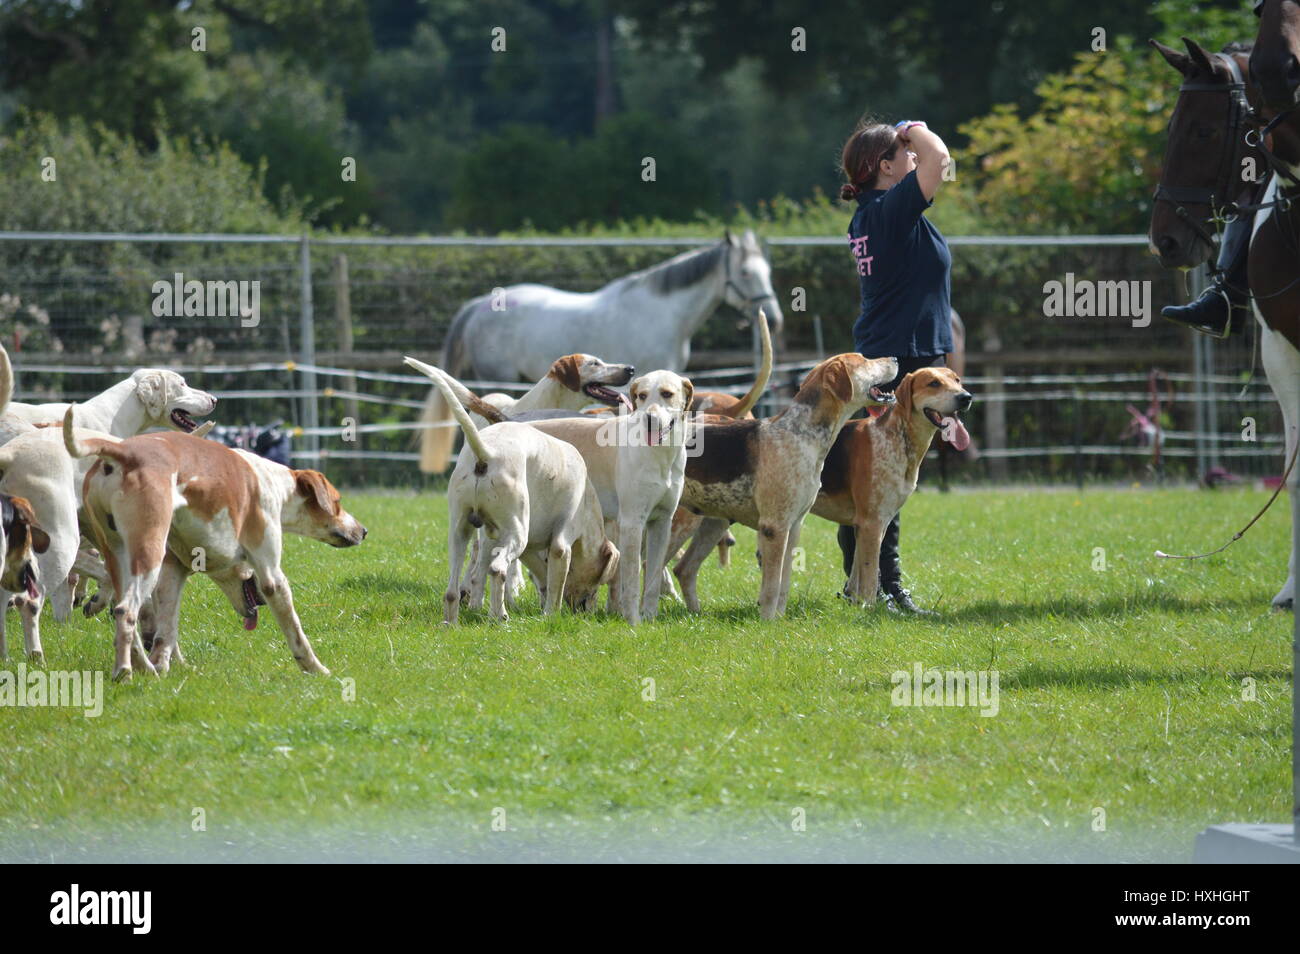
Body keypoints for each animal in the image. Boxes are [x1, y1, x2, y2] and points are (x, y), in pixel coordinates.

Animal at [64, 408, 369, 686]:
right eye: (338, 501)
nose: (363, 531)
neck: (272, 482)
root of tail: (120, 451)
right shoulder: (272, 577)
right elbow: (296, 633)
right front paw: (316, 669)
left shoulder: (174, 571)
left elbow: (167, 631)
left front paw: (165, 665)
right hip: (148, 557)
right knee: (126, 610)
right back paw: (124, 671)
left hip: (118, 557)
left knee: (124, 609)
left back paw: (145, 668)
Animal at [665, 353, 899, 621]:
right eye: (864, 360)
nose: (894, 357)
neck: (801, 434)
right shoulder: (774, 528)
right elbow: (771, 585)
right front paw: (767, 621)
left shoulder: (794, 526)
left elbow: (783, 584)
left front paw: (778, 620)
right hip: (675, 524)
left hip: (713, 524)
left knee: (683, 569)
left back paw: (695, 614)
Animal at [816, 366, 972, 605]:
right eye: (934, 383)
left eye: (957, 380)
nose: (965, 397)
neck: (897, 435)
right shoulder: (871, 523)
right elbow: (870, 578)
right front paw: (870, 608)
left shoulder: (876, 523)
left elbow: (858, 575)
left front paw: (856, 604)